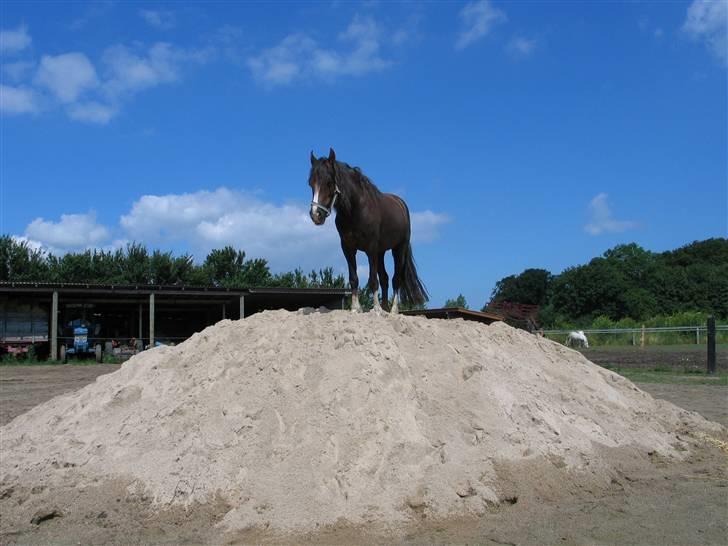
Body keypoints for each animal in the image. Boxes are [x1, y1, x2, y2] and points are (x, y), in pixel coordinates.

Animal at [306, 148, 426, 310]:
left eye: (329, 182)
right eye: (311, 183)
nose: (315, 215)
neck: (355, 211)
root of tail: (401, 204)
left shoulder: (371, 249)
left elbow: (373, 279)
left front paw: (376, 309)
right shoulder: (348, 248)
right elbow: (354, 278)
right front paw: (356, 308)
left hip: (399, 249)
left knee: (396, 278)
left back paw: (393, 309)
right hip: (381, 252)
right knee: (385, 278)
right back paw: (385, 307)